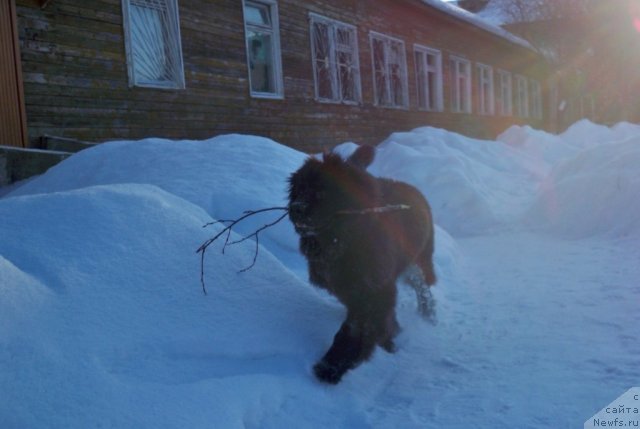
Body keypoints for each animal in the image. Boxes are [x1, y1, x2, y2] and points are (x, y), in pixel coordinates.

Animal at [288, 145, 436, 382]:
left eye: (322, 191)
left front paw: (332, 366)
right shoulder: (351, 289)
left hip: (419, 260)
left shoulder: (375, 290)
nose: (296, 208)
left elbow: (354, 329)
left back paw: (428, 315)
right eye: (300, 189)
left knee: (423, 288)